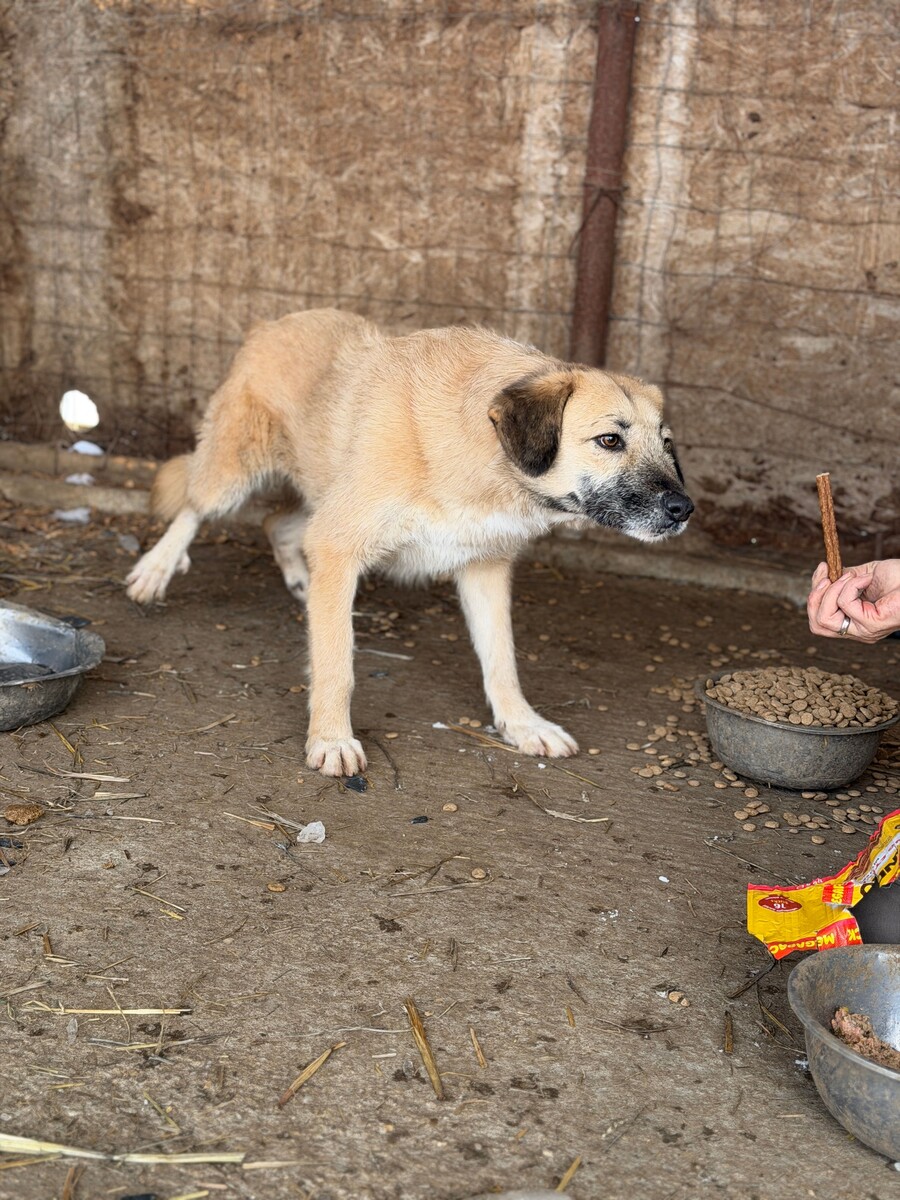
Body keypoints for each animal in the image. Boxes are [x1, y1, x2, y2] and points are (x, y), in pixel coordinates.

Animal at [126, 308, 692, 776]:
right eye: (609, 440)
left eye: (667, 445)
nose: (684, 509)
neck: (481, 454)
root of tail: (271, 322)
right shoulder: (340, 541)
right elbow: (336, 663)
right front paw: (331, 739)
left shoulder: (484, 570)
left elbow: (503, 662)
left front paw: (523, 725)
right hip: (236, 474)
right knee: (193, 506)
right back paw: (156, 569)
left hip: (321, 500)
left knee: (277, 523)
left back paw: (301, 580)